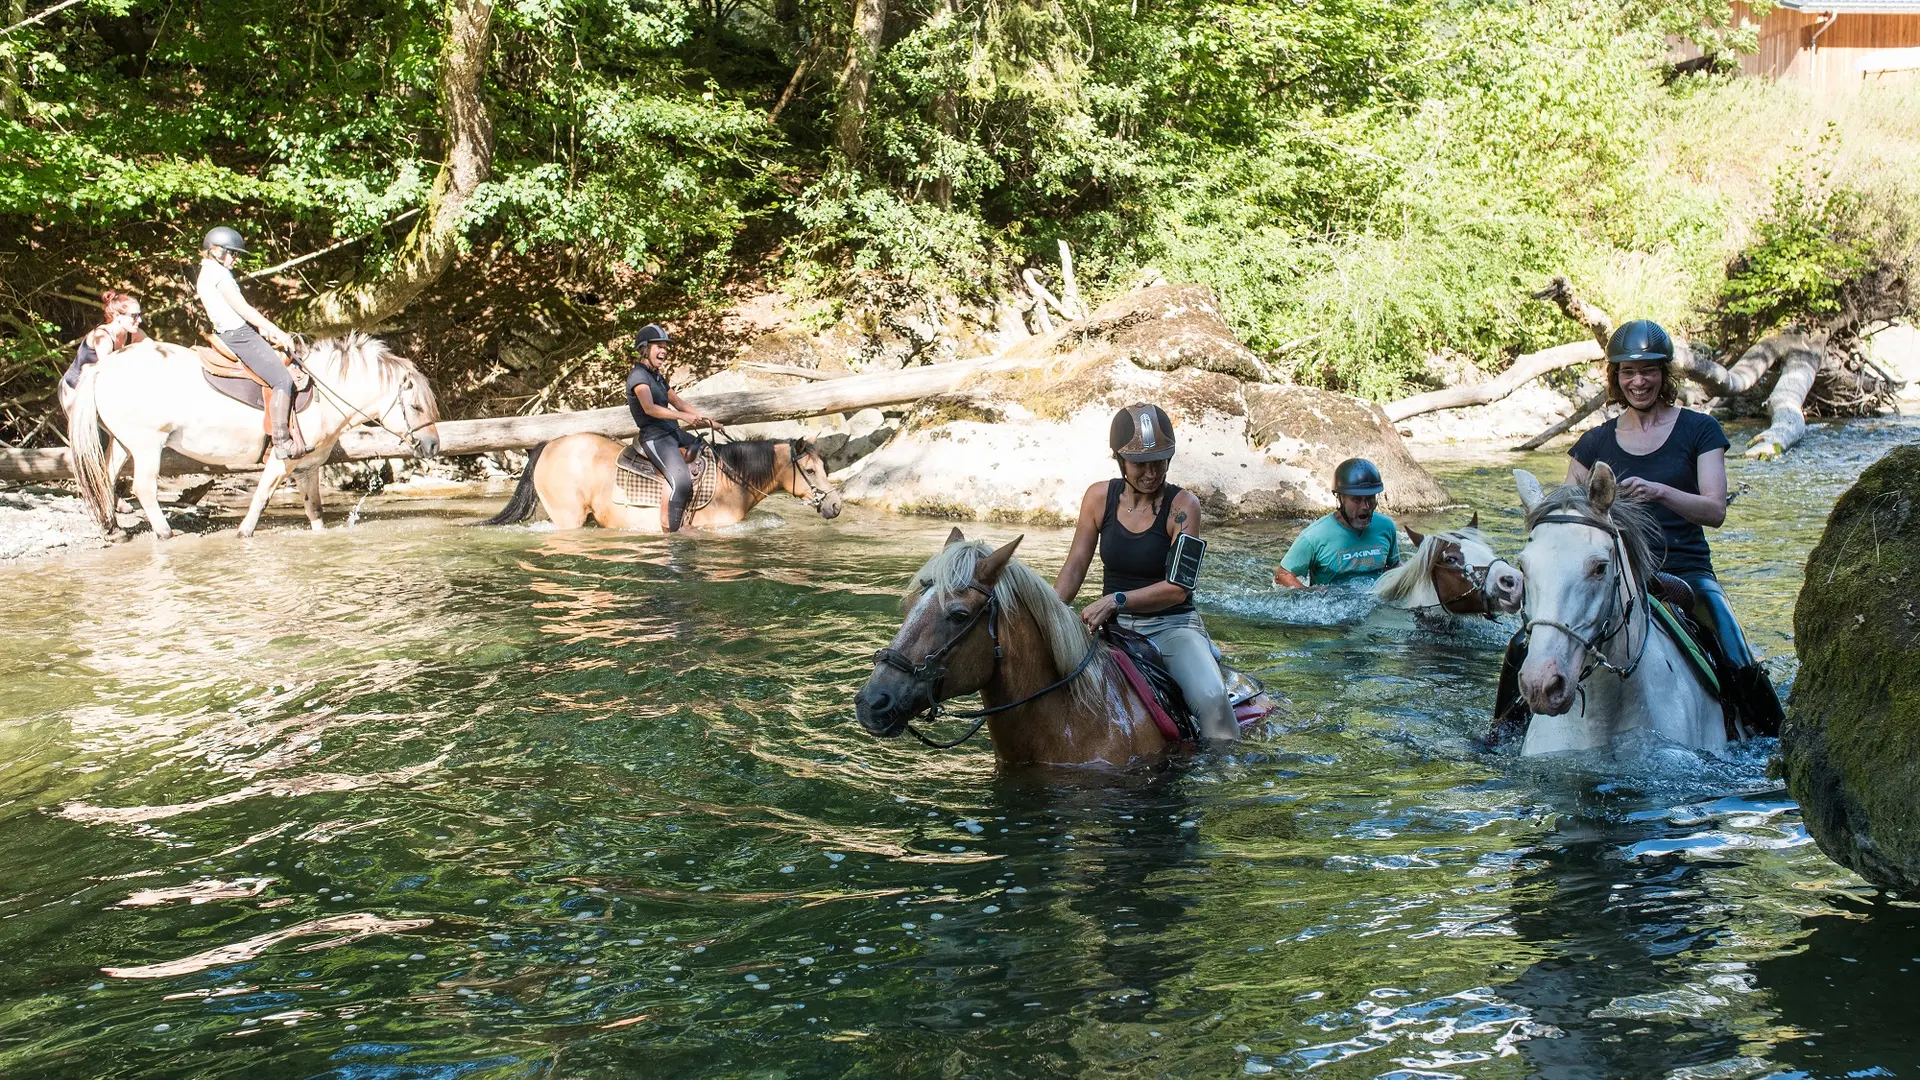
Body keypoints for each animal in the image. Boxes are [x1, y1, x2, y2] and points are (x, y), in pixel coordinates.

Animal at [66, 332, 439, 538]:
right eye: (416, 407)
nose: (434, 445)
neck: (323, 396)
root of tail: (104, 366)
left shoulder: (307, 468)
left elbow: (315, 511)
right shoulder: (282, 460)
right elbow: (260, 498)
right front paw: (244, 534)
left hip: (123, 443)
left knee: (104, 478)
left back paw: (112, 529)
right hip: (147, 444)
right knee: (143, 488)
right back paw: (164, 533)